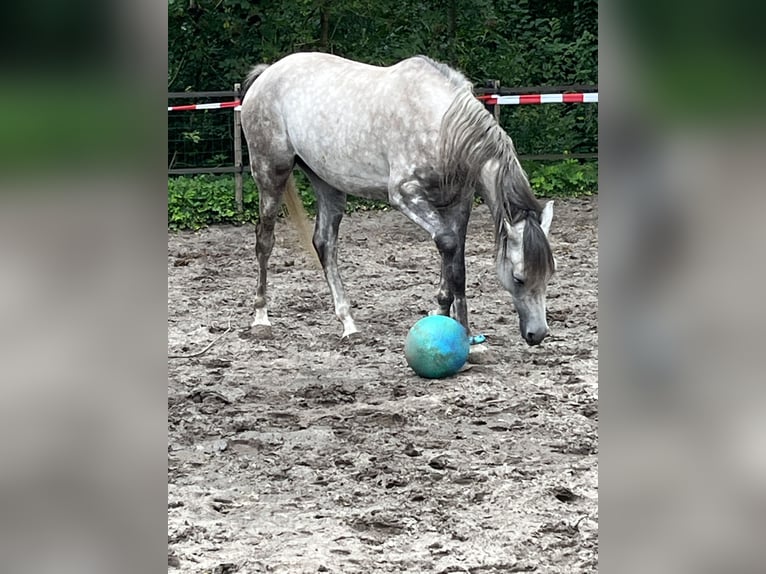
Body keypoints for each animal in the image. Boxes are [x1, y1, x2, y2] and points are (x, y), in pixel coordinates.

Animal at [239, 52, 555, 346]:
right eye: (518, 277)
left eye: (549, 275)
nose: (537, 334)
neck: (443, 128)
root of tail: (266, 73)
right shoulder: (405, 194)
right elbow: (448, 245)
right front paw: (460, 333)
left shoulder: (458, 202)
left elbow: (456, 260)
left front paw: (449, 320)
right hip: (271, 174)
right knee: (264, 241)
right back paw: (261, 319)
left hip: (328, 184)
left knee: (324, 244)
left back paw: (348, 323)